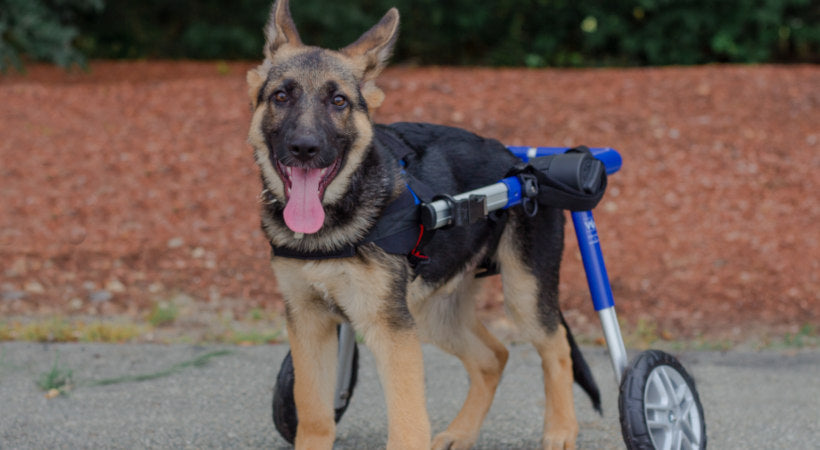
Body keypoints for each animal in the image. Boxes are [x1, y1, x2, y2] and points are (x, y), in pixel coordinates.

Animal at [247, 1, 600, 448]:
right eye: (281, 96)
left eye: (339, 101)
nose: (304, 148)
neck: (335, 224)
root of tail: (522, 164)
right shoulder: (309, 324)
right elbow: (315, 415)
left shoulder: (391, 331)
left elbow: (408, 423)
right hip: (433, 310)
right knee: (494, 356)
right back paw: (460, 433)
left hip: (524, 294)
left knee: (557, 349)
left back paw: (560, 431)